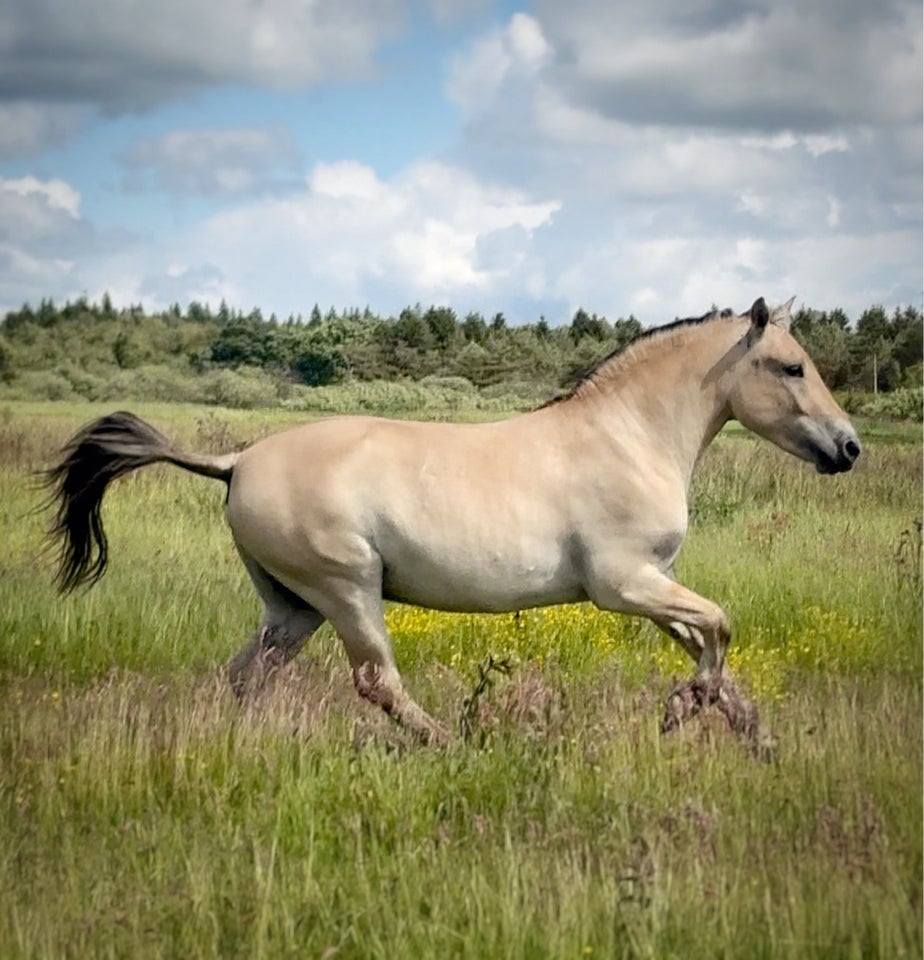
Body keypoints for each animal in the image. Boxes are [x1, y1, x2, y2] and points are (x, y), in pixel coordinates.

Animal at [47, 298, 864, 744]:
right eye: (792, 366)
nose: (849, 447)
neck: (629, 437)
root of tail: (236, 460)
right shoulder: (623, 584)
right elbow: (720, 627)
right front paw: (682, 712)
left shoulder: (656, 582)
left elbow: (711, 643)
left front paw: (744, 731)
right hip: (347, 590)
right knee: (377, 683)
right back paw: (453, 742)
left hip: (292, 608)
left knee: (247, 674)